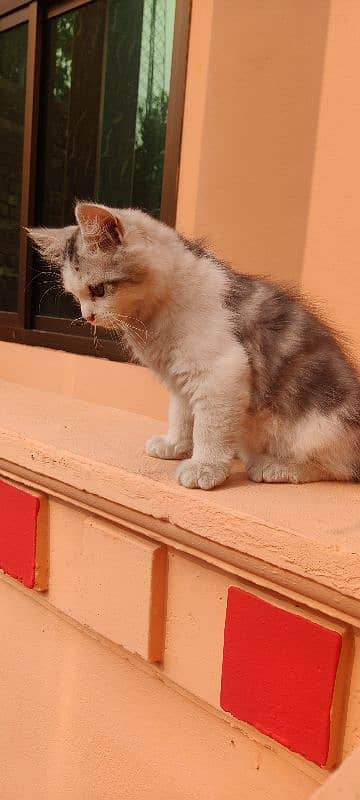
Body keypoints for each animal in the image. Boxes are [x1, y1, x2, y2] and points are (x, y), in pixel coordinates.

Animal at [28, 202, 360, 488]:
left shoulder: (220, 372)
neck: (155, 317)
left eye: (97, 290)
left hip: (321, 426)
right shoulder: (180, 379)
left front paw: (204, 466)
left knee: (334, 467)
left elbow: (208, 428)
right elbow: (182, 415)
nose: (87, 317)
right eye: (76, 296)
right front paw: (175, 445)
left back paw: (273, 465)